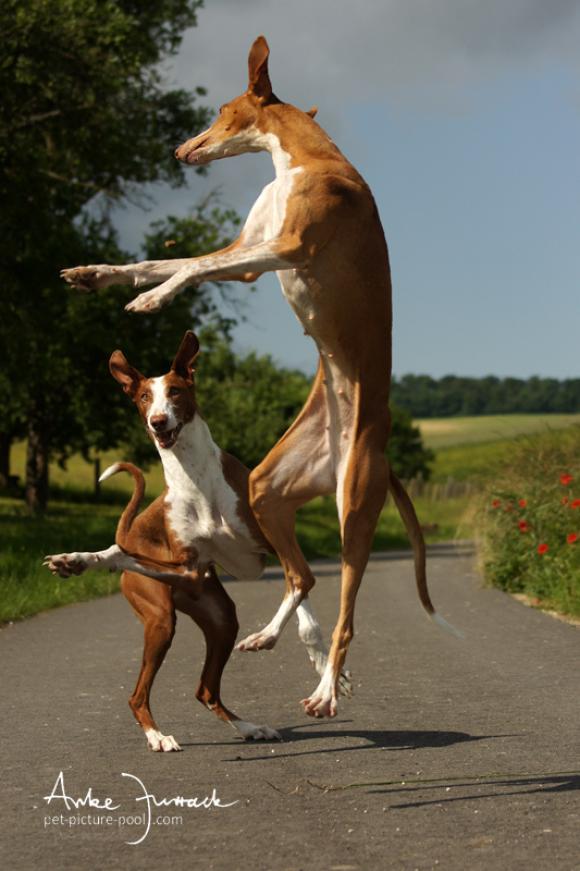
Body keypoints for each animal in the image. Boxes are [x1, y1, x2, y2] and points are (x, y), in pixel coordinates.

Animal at [60, 34, 458, 720]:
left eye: (220, 111)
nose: (180, 150)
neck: (303, 160)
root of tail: (364, 443)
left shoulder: (288, 245)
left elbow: (188, 269)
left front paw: (152, 300)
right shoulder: (250, 252)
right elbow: (171, 260)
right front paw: (100, 274)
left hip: (354, 506)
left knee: (344, 606)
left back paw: (326, 688)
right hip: (270, 488)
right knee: (299, 575)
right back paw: (270, 638)